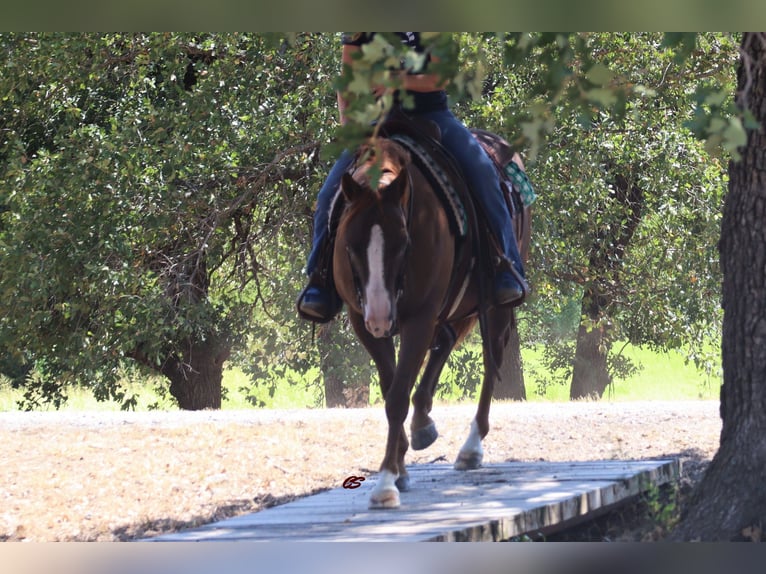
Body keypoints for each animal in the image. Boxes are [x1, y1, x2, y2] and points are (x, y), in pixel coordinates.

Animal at [332, 125, 532, 508]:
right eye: (349, 243)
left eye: (403, 243)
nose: (381, 316)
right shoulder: (361, 320)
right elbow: (391, 386)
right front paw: (400, 464)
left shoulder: (419, 318)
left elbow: (396, 396)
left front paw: (387, 482)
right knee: (446, 341)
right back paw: (423, 422)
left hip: (496, 305)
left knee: (491, 361)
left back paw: (471, 448)